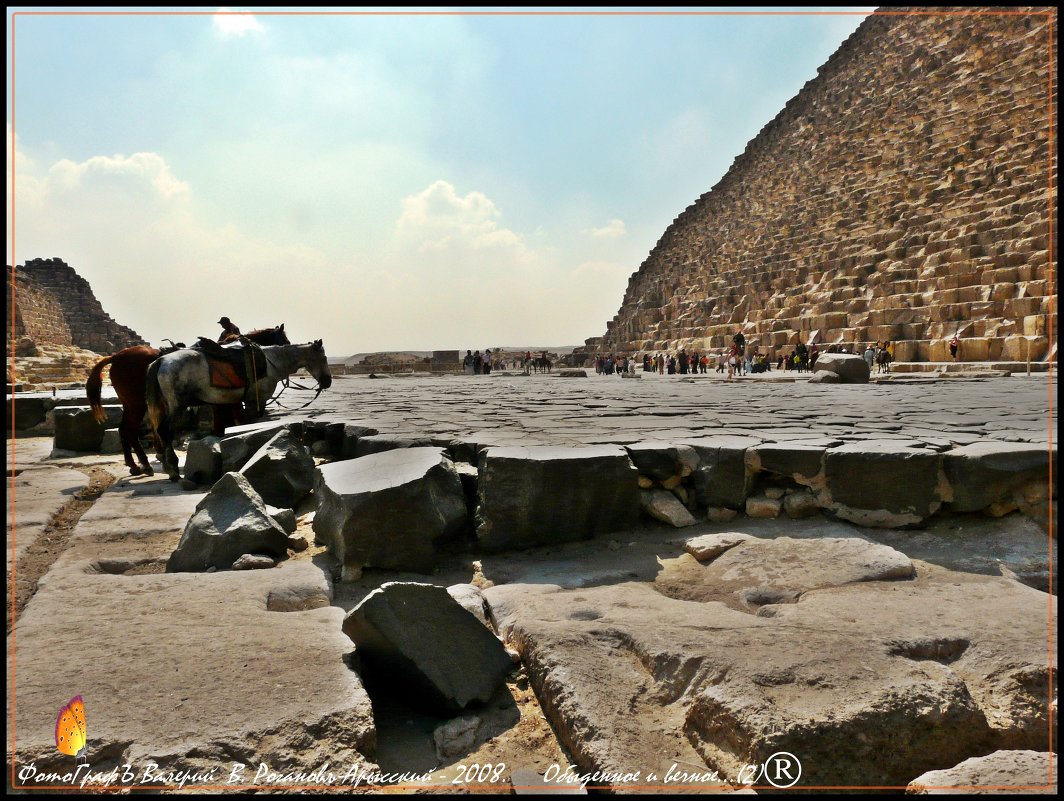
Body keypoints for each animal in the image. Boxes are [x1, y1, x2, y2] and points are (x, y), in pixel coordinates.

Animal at [86, 325, 289, 474]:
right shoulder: (231, 402)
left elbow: (223, 426)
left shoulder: (220, 402)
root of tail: (114, 357)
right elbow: (234, 424)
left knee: (124, 429)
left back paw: (136, 464)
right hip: (138, 404)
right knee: (133, 429)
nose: (288, 344)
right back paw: (149, 465)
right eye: (285, 339)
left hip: (131, 404)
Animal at [143, 338, 329, 480]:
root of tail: (161, 361)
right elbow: (251, 426)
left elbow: (238, 425)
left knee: (159, 430)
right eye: (324, 358)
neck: (271, 362)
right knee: (165, 430)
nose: (327, 381)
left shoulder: (236, 404)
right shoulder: (256, 402)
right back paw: (173, 469)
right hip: (177, 406)